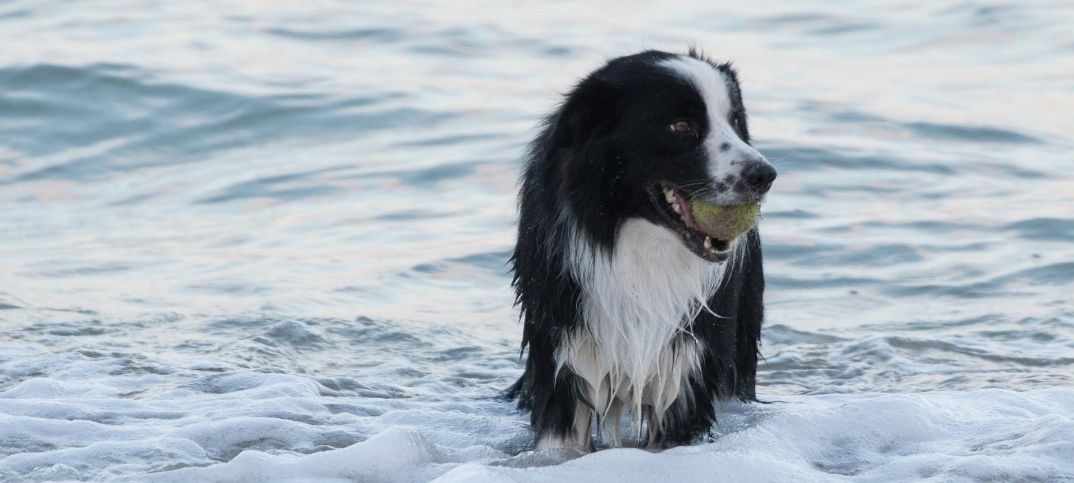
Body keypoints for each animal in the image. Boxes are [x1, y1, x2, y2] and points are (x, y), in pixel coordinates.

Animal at [506, 49, 777, 448]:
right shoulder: (564, 350)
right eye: (681, 126)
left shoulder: (688, 365)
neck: (638, 245)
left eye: (735, 120)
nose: (765, 175)